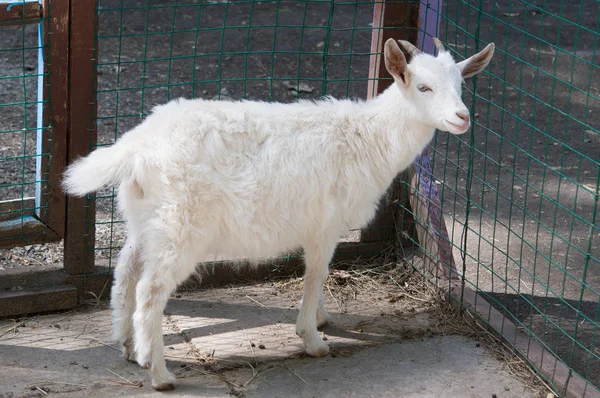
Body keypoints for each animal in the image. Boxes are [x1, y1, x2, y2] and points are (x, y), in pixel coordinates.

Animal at [62, 38, 492, 390]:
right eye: (423, 87)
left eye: (461, 86)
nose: (462, 118)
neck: (367, 137)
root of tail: (135, 148)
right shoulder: (325, 225)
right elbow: (317, 273)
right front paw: (313, 339)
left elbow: (319, 275)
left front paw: (320, 318)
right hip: (179, 228)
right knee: (149, 290)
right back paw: (159, 373)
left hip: (147, 221)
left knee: (125, 273)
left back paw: (128, 347)